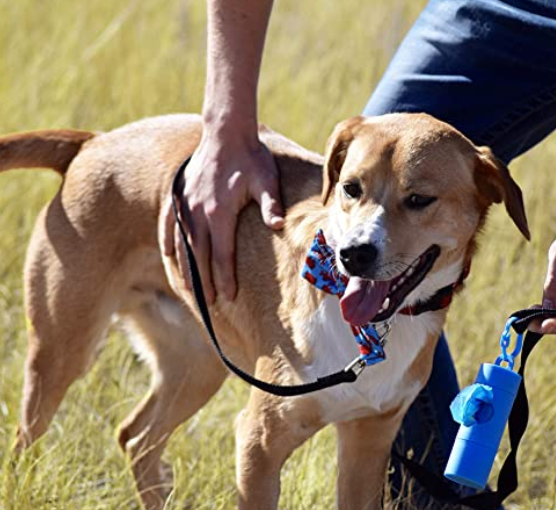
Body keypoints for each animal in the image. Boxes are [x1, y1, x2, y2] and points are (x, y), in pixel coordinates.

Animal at [2, 114, 528, 510]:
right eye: (350, 188)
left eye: (419, 199)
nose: (353, 255)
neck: (373, 331)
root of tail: (94, 143)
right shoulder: (258, 442)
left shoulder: (367, 442)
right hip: (62, 351)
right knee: (26, 439)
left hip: (197, 367)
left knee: (136, 438)